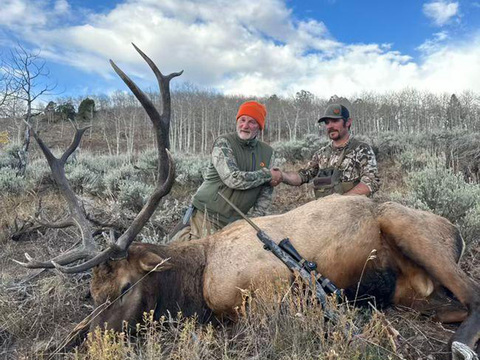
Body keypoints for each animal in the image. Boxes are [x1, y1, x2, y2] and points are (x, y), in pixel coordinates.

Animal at [13, 45, 478, 360]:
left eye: (125, 287)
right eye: (91, 292)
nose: (86, 341)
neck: (196, 280)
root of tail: (455, 231)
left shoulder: (268, 298)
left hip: (415, 234)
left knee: (472, 293)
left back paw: (460, 345)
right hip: (411, 293)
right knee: (448, 304)